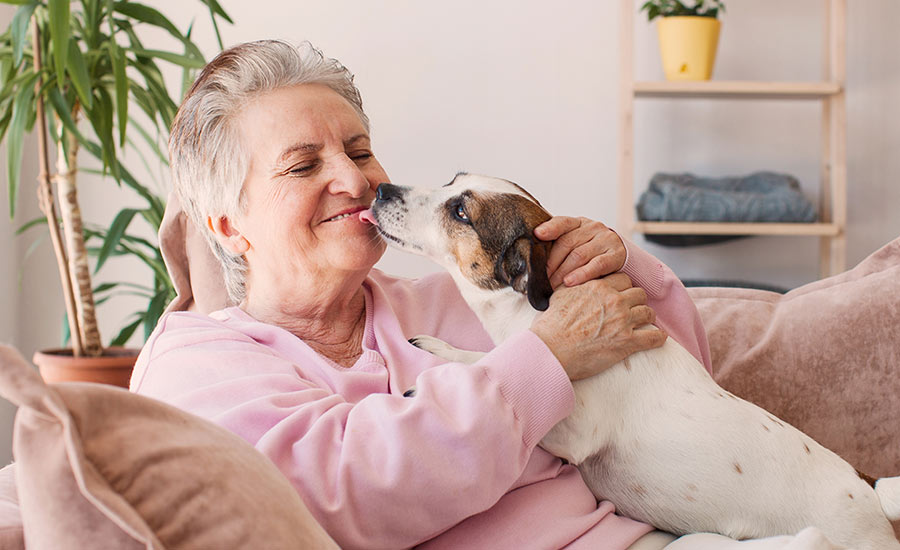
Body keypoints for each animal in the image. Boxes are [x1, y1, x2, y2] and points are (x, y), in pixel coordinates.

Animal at [366, 175, 900, 548]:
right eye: (451, 180)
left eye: (460, 210)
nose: (382, 189)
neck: (542, 304)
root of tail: (869, 489)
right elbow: (489, 355)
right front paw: (439, 349)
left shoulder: (571, 428)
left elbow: (493, 368)